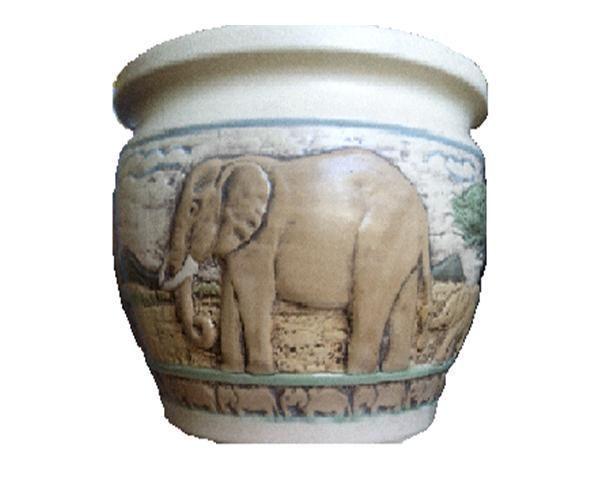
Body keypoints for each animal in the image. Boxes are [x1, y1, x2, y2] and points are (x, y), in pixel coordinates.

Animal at [160, 148, 432, 374]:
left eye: (193, 208)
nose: (202, 323)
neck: (231, 164)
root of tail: (420, 209)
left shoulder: (262, 237)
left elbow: (255, 293)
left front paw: (262, 373)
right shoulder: (238, 243)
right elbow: (231, 293)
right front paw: (232, 371)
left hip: (382, 235)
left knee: (367, 301)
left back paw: (359, 375)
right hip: (402, 241)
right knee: (402, 302)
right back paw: (393, 370)